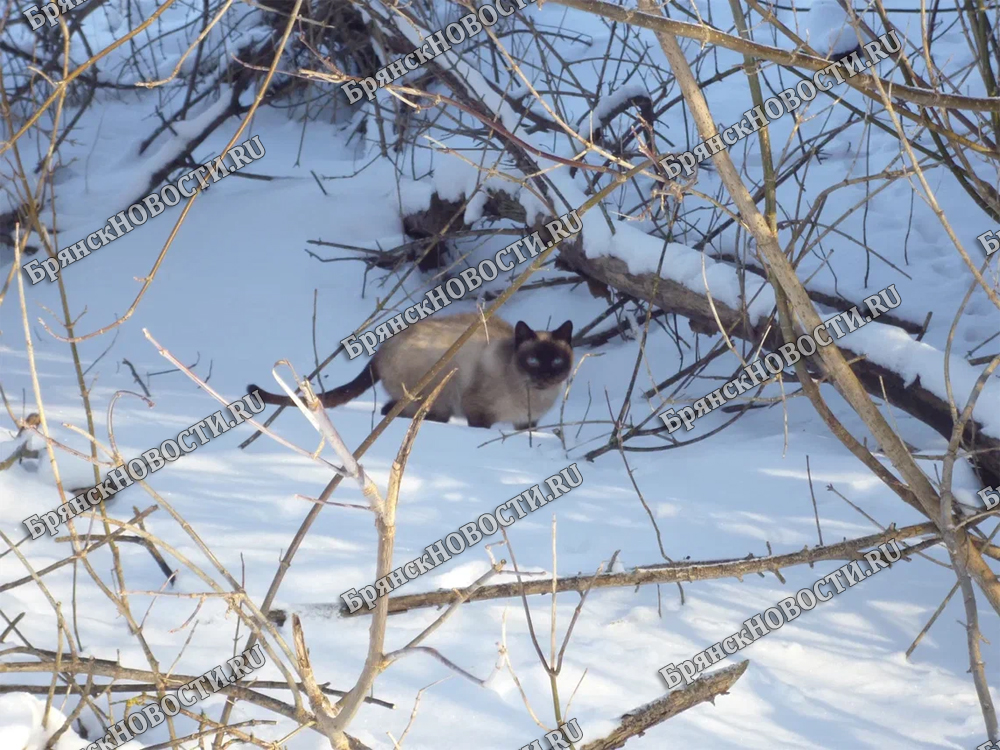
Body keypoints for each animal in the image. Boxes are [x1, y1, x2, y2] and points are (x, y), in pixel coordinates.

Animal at [247, 312, 576, 428]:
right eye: (533, 362)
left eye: (557, 362)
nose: (547, 376)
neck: (531, 397)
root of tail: (380, 351)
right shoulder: (478, 412)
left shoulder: (528, 424)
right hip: (442, 385)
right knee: (406, 412)